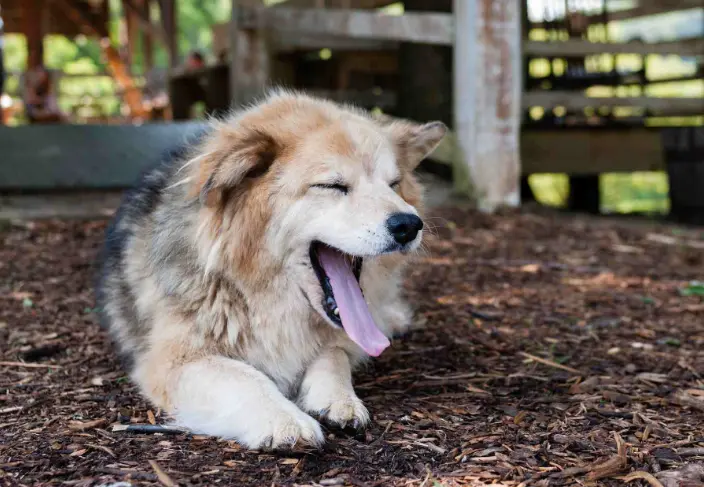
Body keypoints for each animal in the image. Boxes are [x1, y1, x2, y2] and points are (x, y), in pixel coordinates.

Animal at [95, 91, 446, 450]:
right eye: (332, 186)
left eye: (394, 184)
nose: (409, 225)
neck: (249, 293)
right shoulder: (174, 361)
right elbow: (245, 377)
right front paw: (285, 418)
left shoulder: (341, 342)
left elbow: (334, 357)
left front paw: (339, 399)